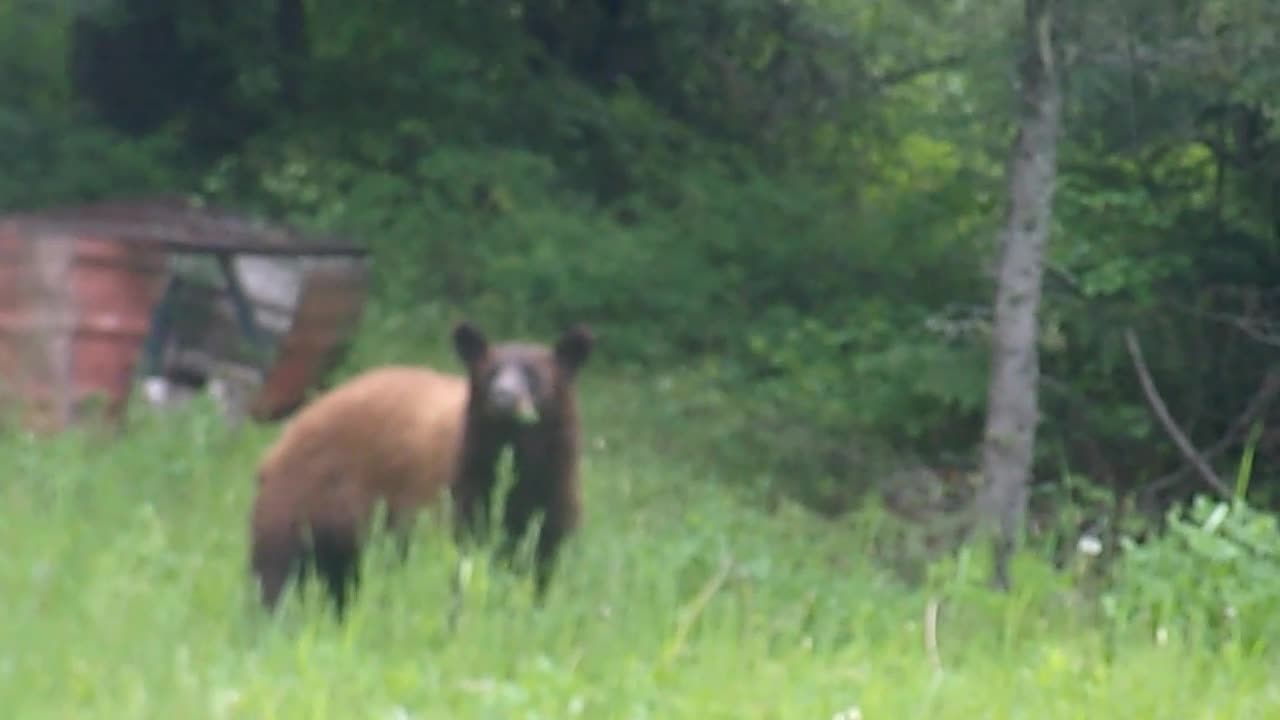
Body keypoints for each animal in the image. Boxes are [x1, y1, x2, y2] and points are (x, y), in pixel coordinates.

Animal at [247, 322, 596, 614]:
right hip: (303, 496)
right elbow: (458, 563)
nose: (504, 396)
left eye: (534, 375)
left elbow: (540, 565)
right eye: (491, 372)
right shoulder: (457, 490)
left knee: (339, 578)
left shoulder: (552, 499)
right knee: (276, 565)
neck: (513, 459)